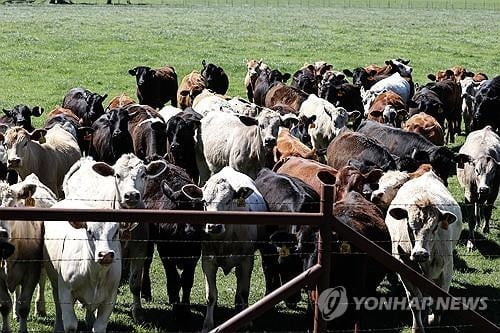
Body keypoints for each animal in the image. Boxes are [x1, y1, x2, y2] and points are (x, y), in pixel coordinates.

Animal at [141, 162, 203, 316]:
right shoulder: (166, 254)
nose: (190, 231)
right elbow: (174, 280)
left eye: (199, 209)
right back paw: (146, 292)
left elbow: (187, 280)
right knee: (147, 261)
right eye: (179, 208)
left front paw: (185, 307)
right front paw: (176, 306)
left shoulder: (194, 256)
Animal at [384, 171, 462, 332]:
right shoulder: (404, 270)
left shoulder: (447, 269)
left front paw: (433, 319)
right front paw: (418, 327)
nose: (420, 253)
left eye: (435, 227)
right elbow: (415, 301)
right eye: (409, 224)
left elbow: (440, 300)